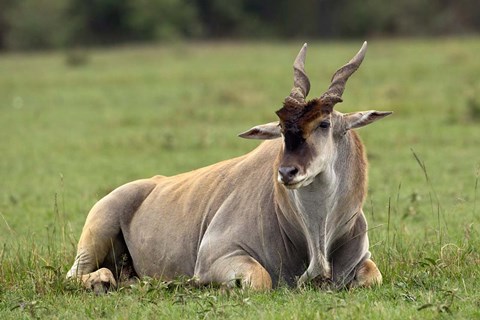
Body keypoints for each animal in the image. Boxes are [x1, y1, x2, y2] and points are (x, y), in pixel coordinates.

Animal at [66, 42, 390, 290]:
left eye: (324, 123)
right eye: (282, 129)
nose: (287, 172)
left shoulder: (363, 263)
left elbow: (373, 275)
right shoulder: (217, 256)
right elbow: (260, 279)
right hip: (96, 235)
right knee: (76, 276)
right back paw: (104, 281)